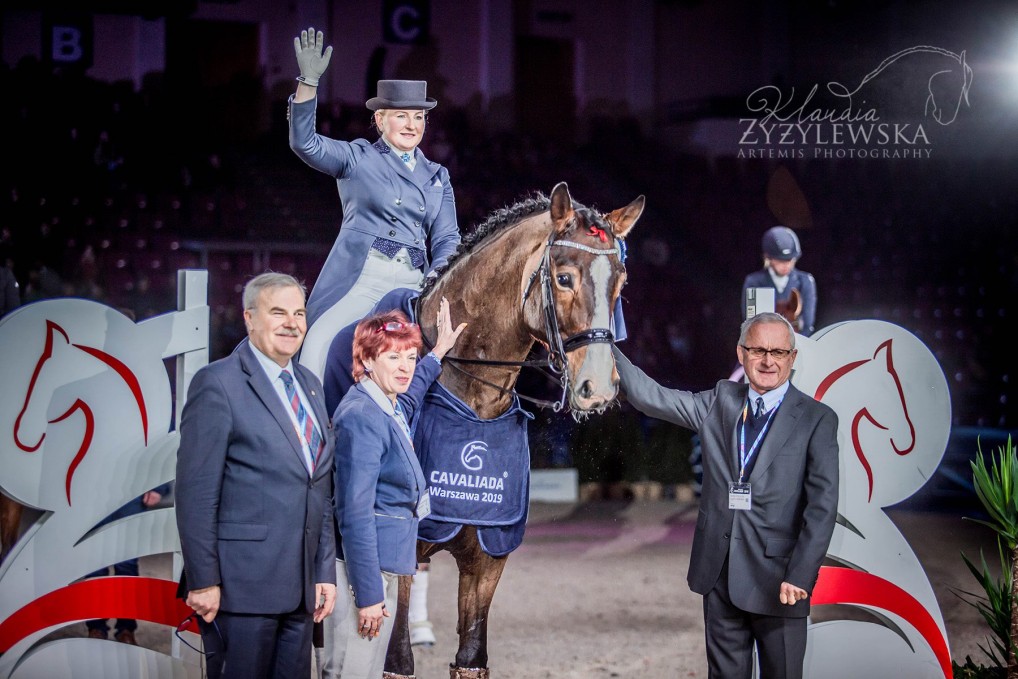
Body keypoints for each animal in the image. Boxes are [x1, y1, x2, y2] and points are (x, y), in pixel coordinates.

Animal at [377, 182, 644, 679]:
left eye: (619, 282)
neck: (468, 397)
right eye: (564, 278)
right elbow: (396, 658)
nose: (597, 387)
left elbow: (471, 657)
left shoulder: (487, 560)